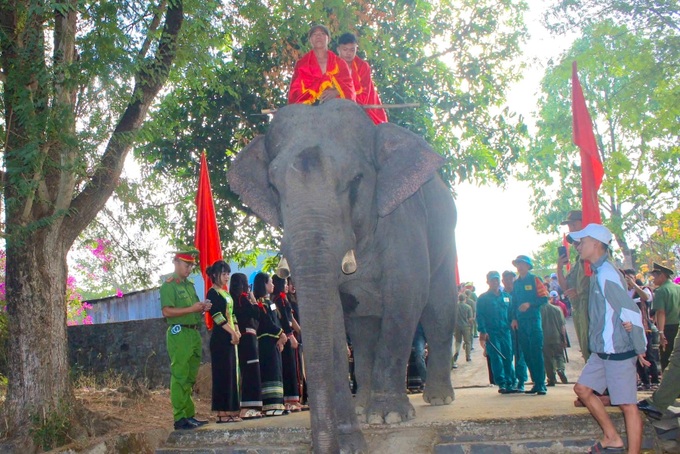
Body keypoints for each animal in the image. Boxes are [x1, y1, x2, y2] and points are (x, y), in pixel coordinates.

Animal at [227, 97, 456, 452]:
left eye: (356, 180)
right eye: (274, 187)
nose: (327, 446)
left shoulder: (403, 219)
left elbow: (406, 297)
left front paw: (389, 417)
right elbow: (333, 315)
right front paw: (353, 439)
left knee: (438, 310)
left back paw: (438, 398)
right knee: (362, 331)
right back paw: (363, 405)